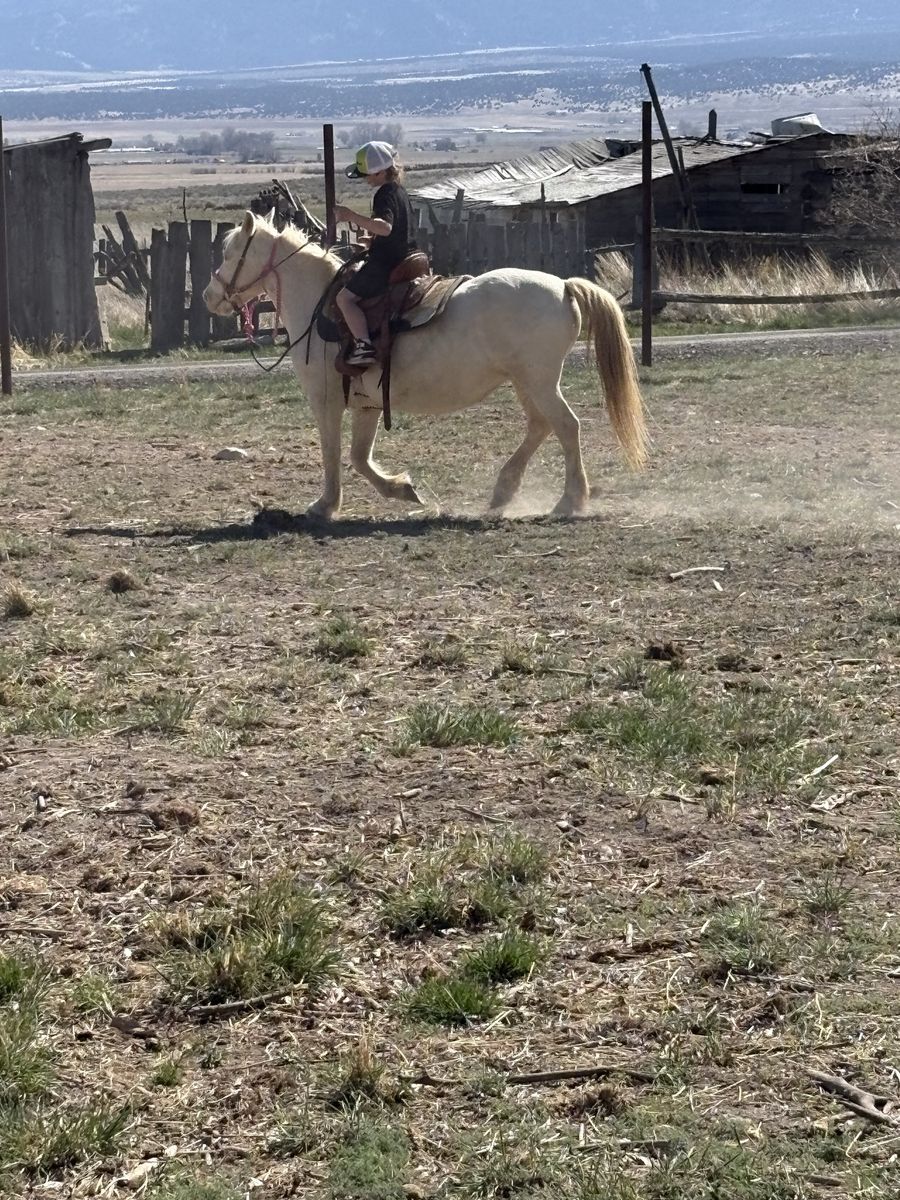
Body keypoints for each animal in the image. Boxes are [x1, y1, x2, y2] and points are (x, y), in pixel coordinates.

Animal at [203, 212, 648, 520]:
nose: (210, 296)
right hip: (527, 383)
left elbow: (333, 453)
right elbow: (359, 457)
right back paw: (503, 492)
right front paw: (402, 489)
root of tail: (564, 286)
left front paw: (325, 505)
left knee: (566, 426)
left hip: (539, 382)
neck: (319, 304)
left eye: (229, 254)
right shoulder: (367, 404)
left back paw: (569, 500)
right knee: (541, 426)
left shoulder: (326, 401)